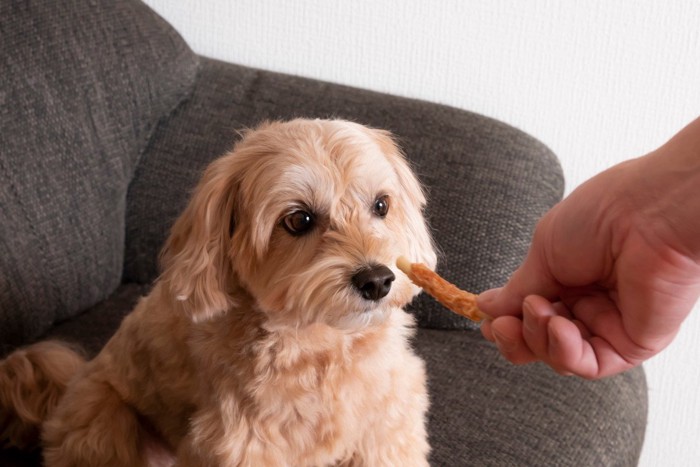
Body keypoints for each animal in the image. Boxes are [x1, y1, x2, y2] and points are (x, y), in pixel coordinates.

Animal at [0, 119, 438, 466]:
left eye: (381, 205)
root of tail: (65, 390)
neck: (326, 346)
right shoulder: (244, 442)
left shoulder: (388, 424)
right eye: (298, 220)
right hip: (103, 421)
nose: (377, 280)